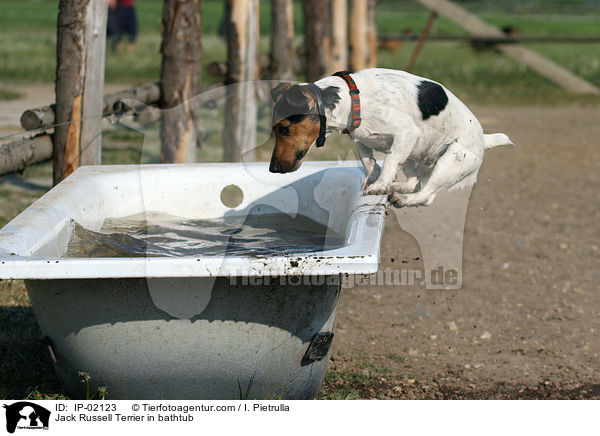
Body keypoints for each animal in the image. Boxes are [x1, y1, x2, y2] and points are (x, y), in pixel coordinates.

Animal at [270, 68, 512, 208]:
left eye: (284, 129)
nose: (272, 169)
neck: (353, 98)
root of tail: (484, 139)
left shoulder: (405, 132)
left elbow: (389, 161)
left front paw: (379, 185)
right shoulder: (360, 140)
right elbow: (369, 163)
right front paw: (375, 180)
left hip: (450, 161)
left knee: (426, 195)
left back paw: (403, 199)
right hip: (416, 155)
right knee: (416, 183)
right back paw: (400, 187)